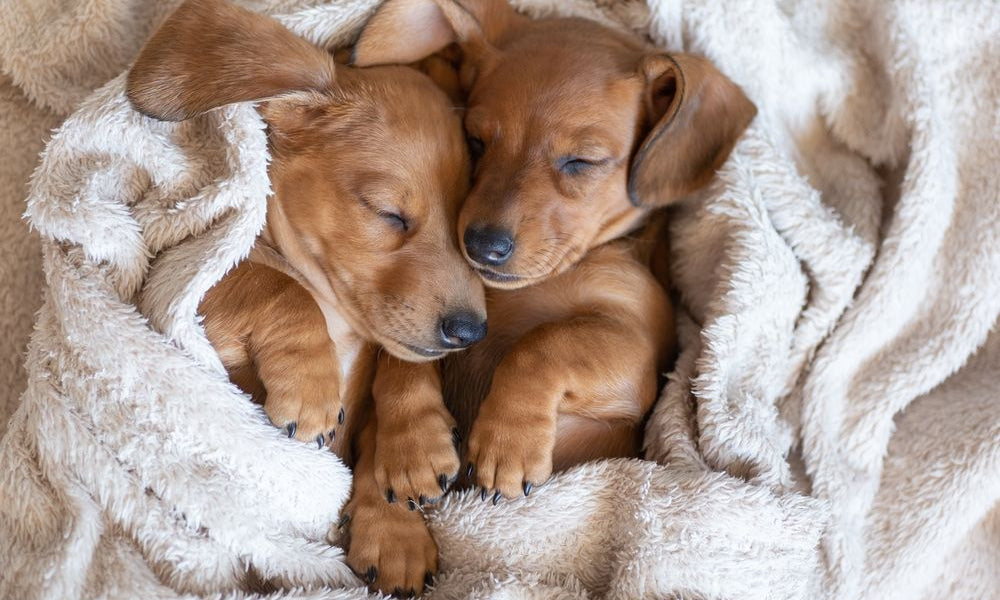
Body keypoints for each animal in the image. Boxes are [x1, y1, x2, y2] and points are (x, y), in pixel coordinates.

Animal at [127, 0, 486, 592]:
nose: (471, 331)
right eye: (389, 214)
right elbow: (280, 286)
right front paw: (310, 387)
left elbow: (398, 375)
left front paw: (407, 472)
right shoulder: (187, 279)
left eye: (466, 224)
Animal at [356, 0, 752, 502]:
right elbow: (405, 355)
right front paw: (412, 443)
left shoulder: (638, 349)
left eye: (582, 162)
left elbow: (544, 344)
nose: (482, 247)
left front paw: (507, 444)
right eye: (476, 141)